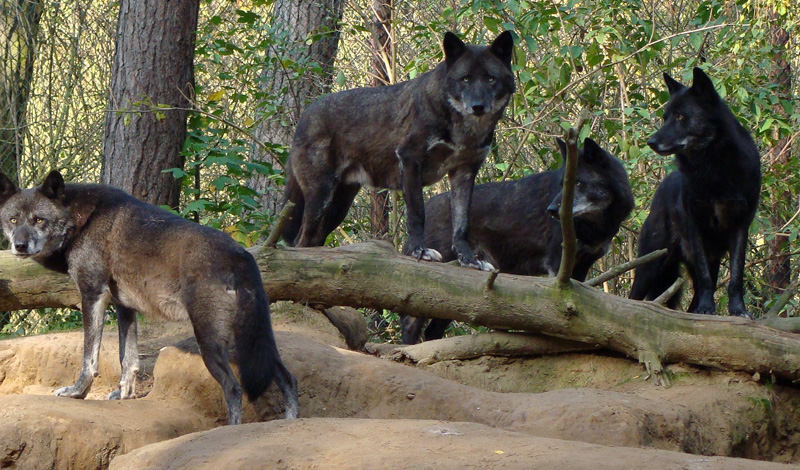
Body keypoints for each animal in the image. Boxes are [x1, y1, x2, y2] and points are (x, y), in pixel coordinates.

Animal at [282, 30, 516, 272]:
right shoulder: (410, 161)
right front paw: (419, 251)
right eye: (466, 79)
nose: (478, 106)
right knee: (299, 242)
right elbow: (417, 214)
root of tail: (303, 118)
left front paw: (469, 260)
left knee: (311, 242)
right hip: (321, 197)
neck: (463, 130)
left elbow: (461, 225)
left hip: (337, 207)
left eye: (491, 79)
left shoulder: (464, 173)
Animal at [404, 138, 636, 344]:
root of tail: (428, 205)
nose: (551, 210)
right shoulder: (557, 266)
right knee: (410, 324)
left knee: (431, 331)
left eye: (577, 183)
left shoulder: (582, 268)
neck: (595, 226)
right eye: (563, 185)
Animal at [632, 67, 764, 320]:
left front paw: (738, 310)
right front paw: (706, 308)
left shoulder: (741, 226)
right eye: (665, 117)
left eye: (681, 117)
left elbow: (736, 276)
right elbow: (704, 280)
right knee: (632, 297)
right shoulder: (696, 227)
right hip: (651, 263)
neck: (713, 168)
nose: (650, 142)